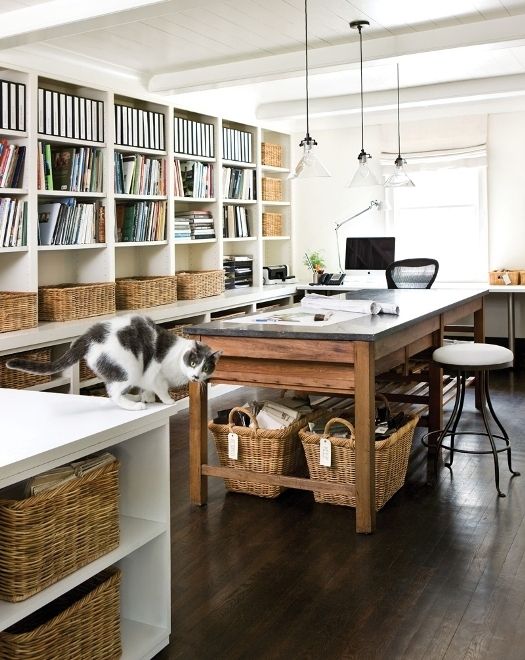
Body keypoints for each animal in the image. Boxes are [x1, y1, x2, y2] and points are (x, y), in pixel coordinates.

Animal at [8, 314, 221, 410]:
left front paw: (147, 397)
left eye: (206, 368)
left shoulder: (146, 378)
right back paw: (135, 405)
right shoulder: (155, 374)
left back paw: (135, 399)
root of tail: (89, 336)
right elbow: (161, 388)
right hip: (129, 368)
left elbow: (147, 389)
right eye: (193, 363)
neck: (178, 359)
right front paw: (168, 400)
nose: (196, 376)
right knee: (113, 393)